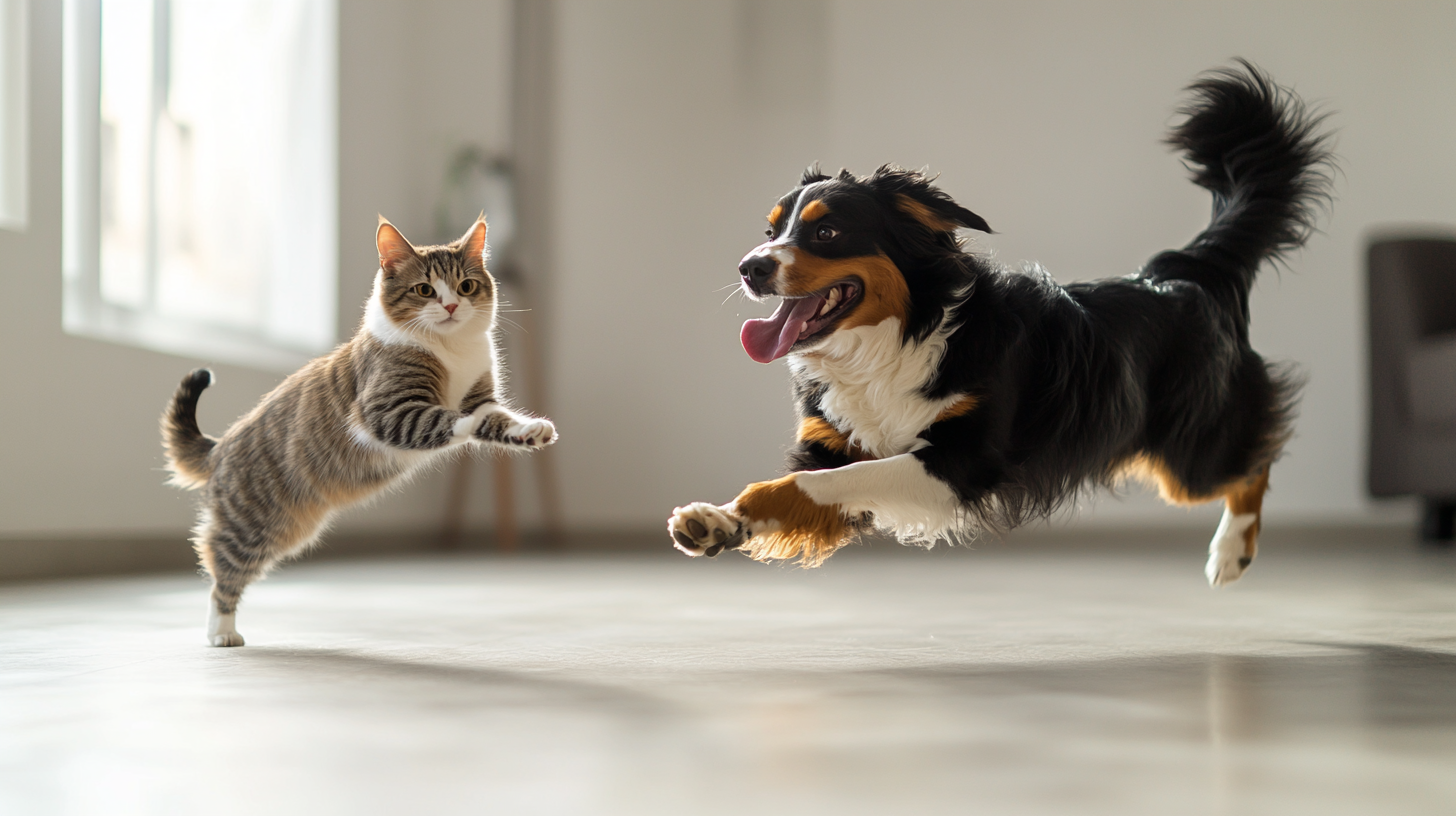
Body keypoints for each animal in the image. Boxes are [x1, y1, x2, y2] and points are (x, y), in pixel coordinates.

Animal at [160, 215, 556, 644]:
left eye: (465, 286)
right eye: (425, 290)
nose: (451, 306)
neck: (450, 349)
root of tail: (220, 446)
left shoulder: (479, 396)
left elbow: (498, 418)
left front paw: (530, 429)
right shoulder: (387, 411)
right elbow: (449, 417)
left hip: (287, 531)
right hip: (251, 527)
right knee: (220, 570)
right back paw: (222, 632)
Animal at [666, 60, 1333, 582]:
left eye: (827, 232)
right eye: (771, 231)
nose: (749, 268)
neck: (894, 344)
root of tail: (1185, 269)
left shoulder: (962, 459)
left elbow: (819, 484)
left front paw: (726, 516)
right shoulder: (828, 446)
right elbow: (804, 487)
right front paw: (720, 521)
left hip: (1191, 453)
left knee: (1255, 461)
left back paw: (1232, 551)